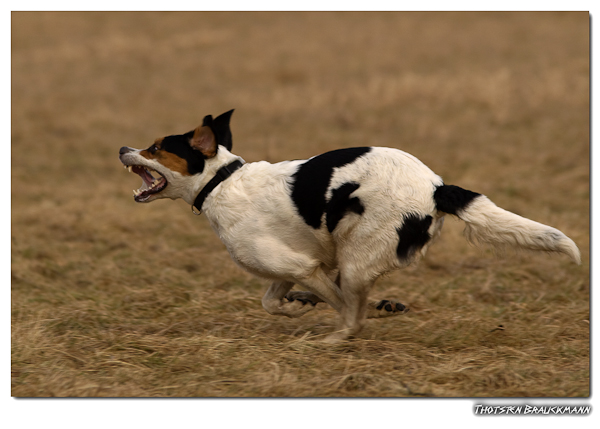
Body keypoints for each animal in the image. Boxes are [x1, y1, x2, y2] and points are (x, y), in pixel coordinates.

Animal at [118, 108, 580, 342]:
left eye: (155, 148)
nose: (122, 148)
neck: (222, 182)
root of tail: (436, 188)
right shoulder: (293, 267)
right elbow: (272, 301)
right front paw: (299, 305)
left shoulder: (300, 266)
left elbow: (337, 305)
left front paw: (316, 312)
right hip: (351, 253)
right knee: (353, 300)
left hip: (357, 257)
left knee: (353, 316)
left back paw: (336, 337)